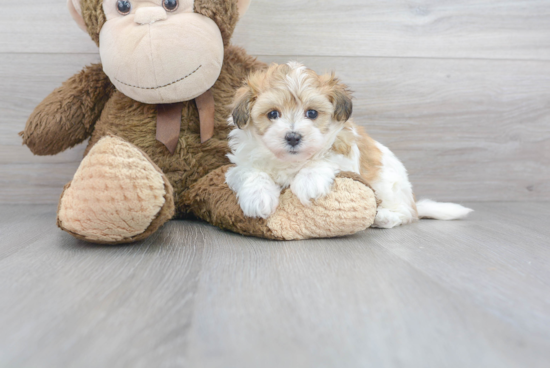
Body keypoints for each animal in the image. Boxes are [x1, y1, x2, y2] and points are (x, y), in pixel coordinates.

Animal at [225, 62, 474, 227]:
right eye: (273, 114)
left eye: (312, 113)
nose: (293, 137)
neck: (291, 161)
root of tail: (413, 201)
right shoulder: (240, 164)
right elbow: (251, 172)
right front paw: (257, 197)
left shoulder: (344, 150)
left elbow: (325, 157)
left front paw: (309, 181)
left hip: (391, 186)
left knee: (405, 214)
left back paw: (384, 216)